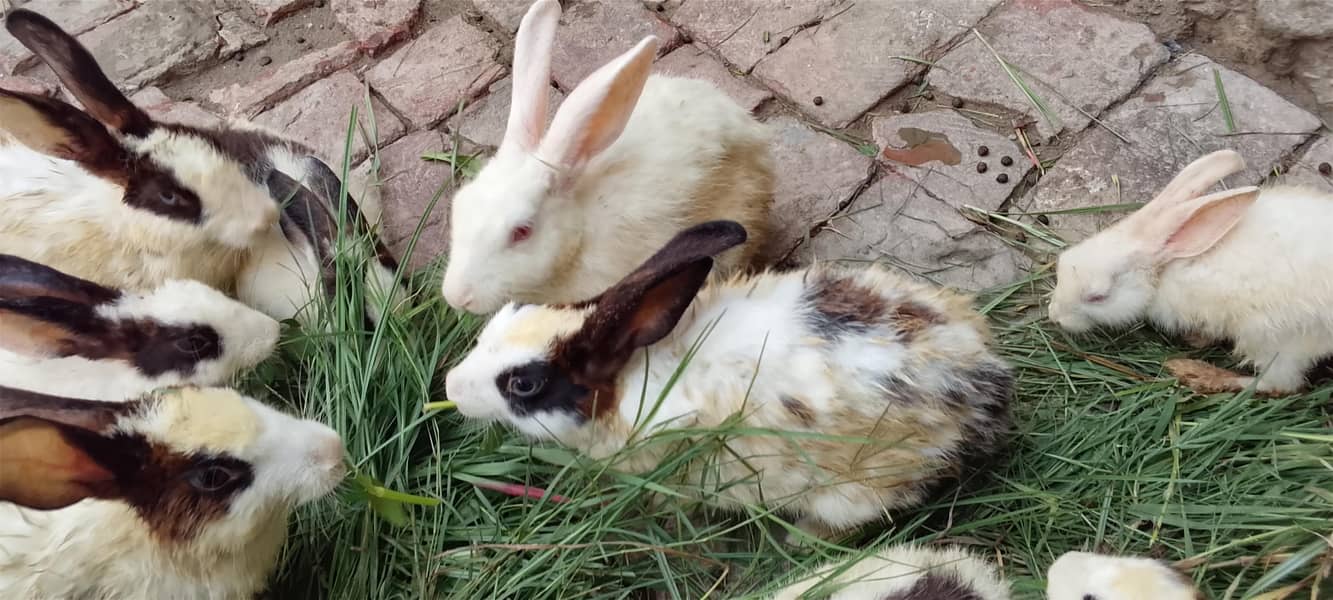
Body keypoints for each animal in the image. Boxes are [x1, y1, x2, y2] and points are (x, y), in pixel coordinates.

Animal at [444, 221, 1012, 538]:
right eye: (513, 311)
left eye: (523, 385)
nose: (450, 387)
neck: (625, 379)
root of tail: (983, 384)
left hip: (854, 491)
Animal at [1047, 148, 1333, 396]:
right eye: (1062, 264)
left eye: (1097, 297)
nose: (1054, 317)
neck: (1164, 269)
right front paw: (1197, 338)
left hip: (1274, 340)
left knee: (1278, 385)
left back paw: (1195, 372)